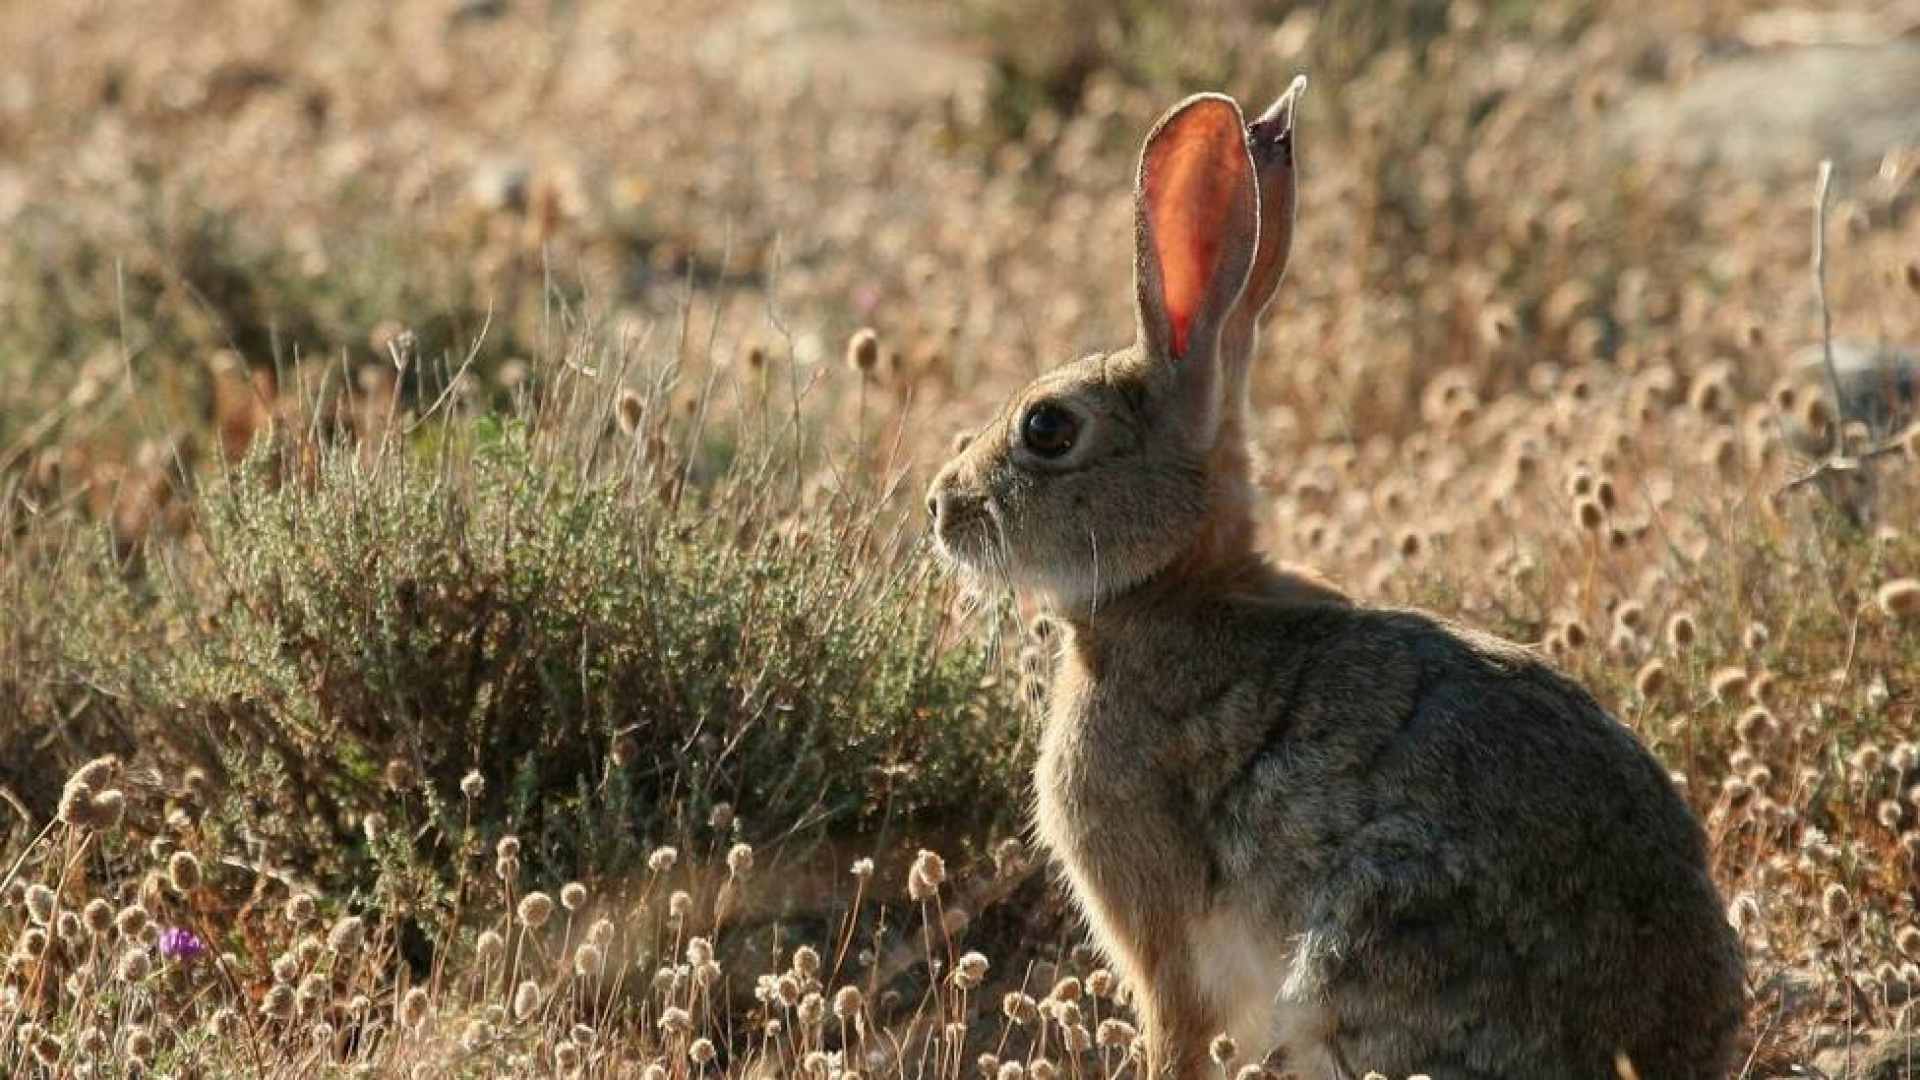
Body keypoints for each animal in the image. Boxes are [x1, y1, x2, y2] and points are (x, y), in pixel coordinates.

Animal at [925, 81, 1746, 1080]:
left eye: (1047, 429)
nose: (939, 506)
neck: (1170, 589)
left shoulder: (1162, 935)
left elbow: (1176, 1033)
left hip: (1370, 951)